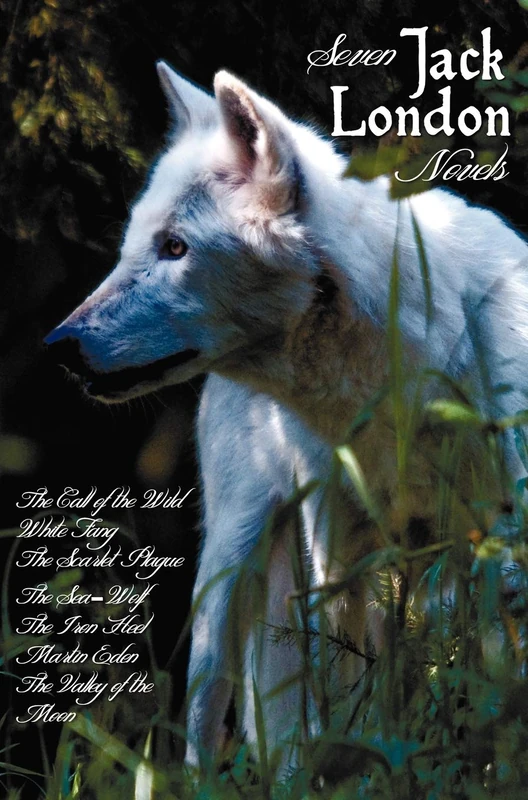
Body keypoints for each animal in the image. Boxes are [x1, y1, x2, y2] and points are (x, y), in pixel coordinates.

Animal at [45, 62, 528, 770]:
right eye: (134, 246)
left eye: (175, 247)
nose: (58, 347)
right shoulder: (339, 559)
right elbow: (345, 704)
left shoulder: (494, 546)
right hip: (231, 570)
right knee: (213, 724)